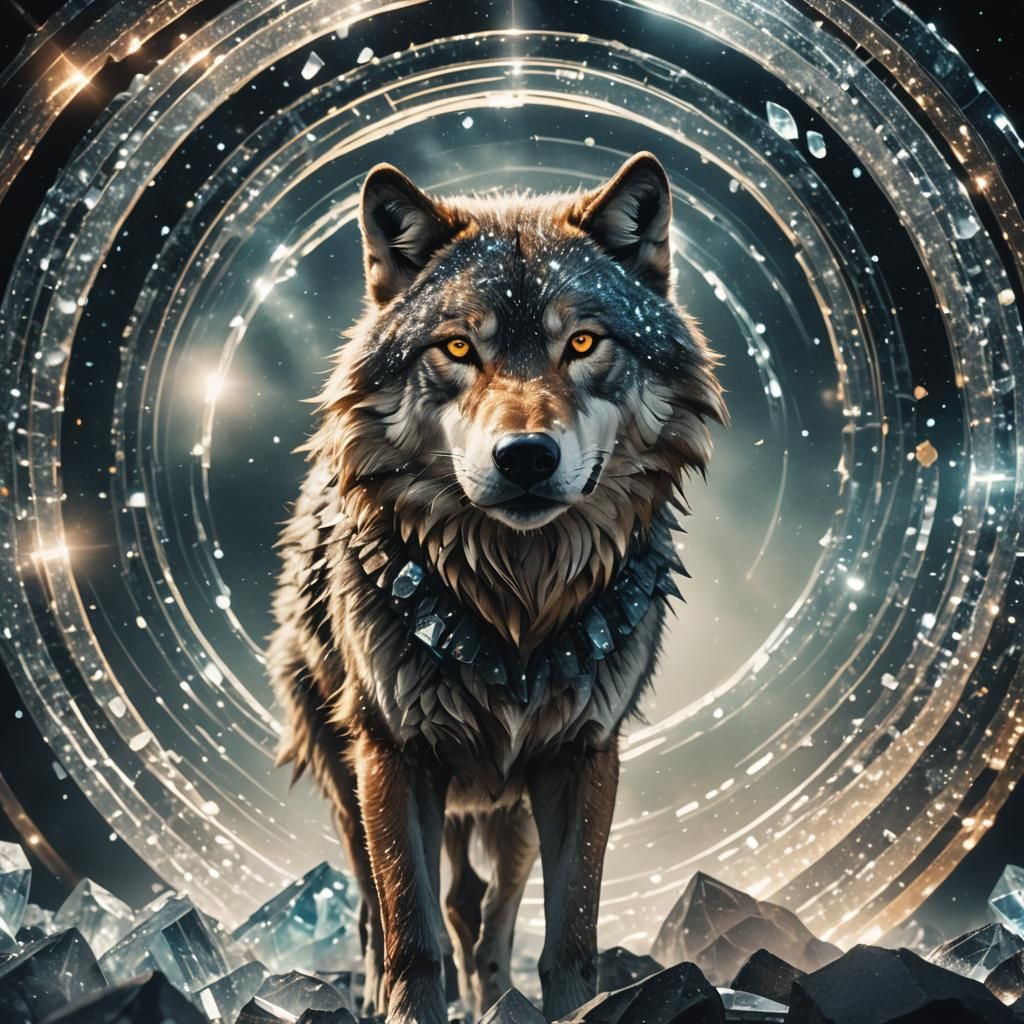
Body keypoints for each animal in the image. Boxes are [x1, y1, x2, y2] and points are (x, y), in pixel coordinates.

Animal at [268, 151, 726, 1024]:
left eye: (582, 341)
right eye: (456, 347)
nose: (526, 457)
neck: (514, 601)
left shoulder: (583, 753)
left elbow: (570, 928)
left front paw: (574, 1005)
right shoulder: (394, 753)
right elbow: (410, 928)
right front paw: (405, 1006)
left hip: (506, 814)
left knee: (487, 908)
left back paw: (495, 994)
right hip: (347, 774)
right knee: (383, 906)